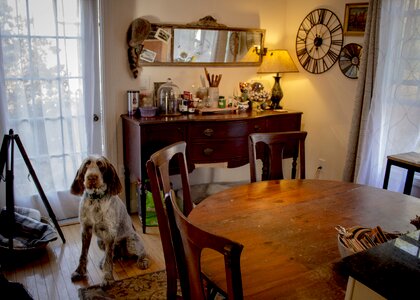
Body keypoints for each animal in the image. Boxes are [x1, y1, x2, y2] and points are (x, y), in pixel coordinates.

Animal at [71, 156, 150, 284]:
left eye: (101, 165)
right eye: (87, 164)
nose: (91, 177)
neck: (95, 200)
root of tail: (122, 255)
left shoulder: (109, 232)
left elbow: (108, 258)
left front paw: (107, 277)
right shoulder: (86, 229)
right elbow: (83, 254)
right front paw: (79, 272)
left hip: (131, 241)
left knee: (142, 252)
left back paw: (142, 261)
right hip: (100, 241)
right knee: (112, 255)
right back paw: (104, 261)